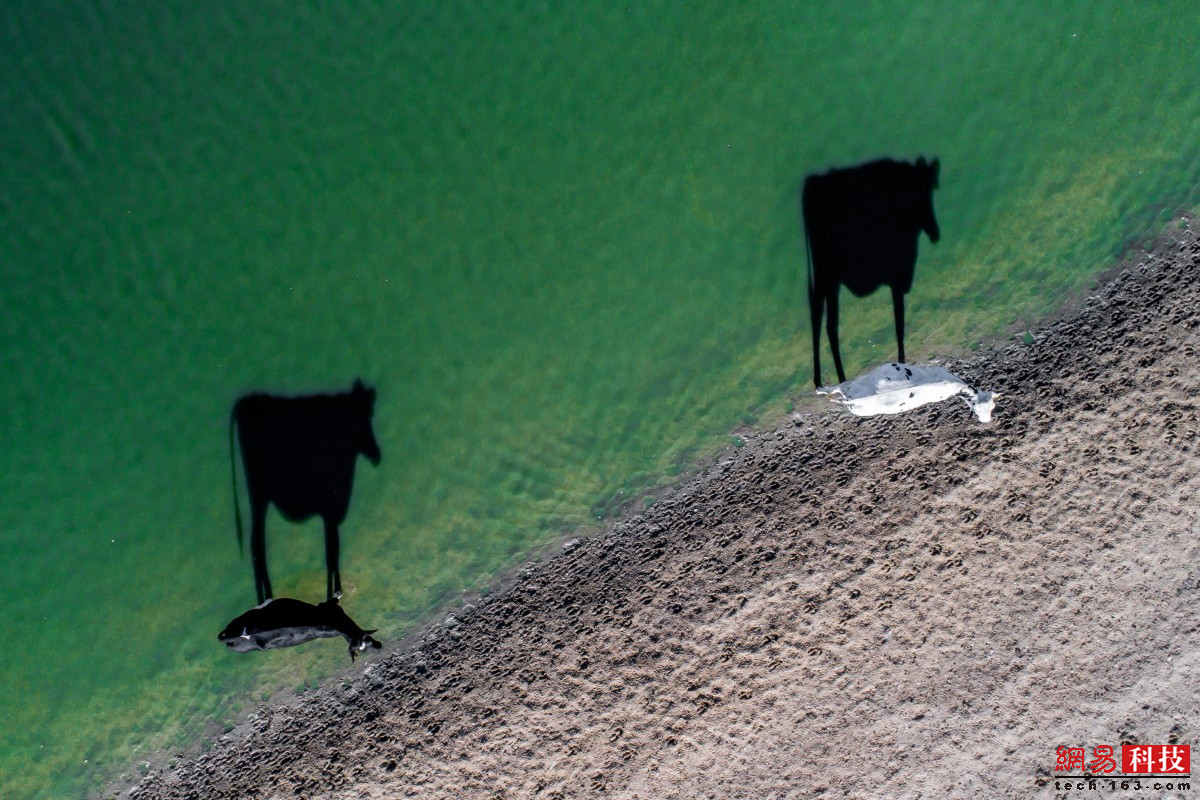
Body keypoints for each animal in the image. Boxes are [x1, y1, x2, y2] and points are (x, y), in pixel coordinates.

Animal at [229, 381, 379, 599]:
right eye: (361, 416)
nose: (376, 454)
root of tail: (247, 401)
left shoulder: (331, 511)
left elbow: (332, 550)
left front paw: (335, 590)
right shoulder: (330, 507)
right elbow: (332, 551)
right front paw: (335, 592)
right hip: (259, 495)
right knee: (257, 544)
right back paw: (266, 597)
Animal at [801, 157, 940, 388]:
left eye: (929, 190)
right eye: (918, 191)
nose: (935, 232)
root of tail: (813, 182)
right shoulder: (897, 274)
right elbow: (899, 322)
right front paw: (902, 363)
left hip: (824, 278)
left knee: (817, 315)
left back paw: (819, 379)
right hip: (829, 275)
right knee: (829, 323)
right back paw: (840, 377)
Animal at [820, 364, 998, 424]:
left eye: (992, 408)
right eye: (978, 411)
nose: (987, 421)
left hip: (852, 392)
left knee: (836, 389)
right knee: (837, 387)